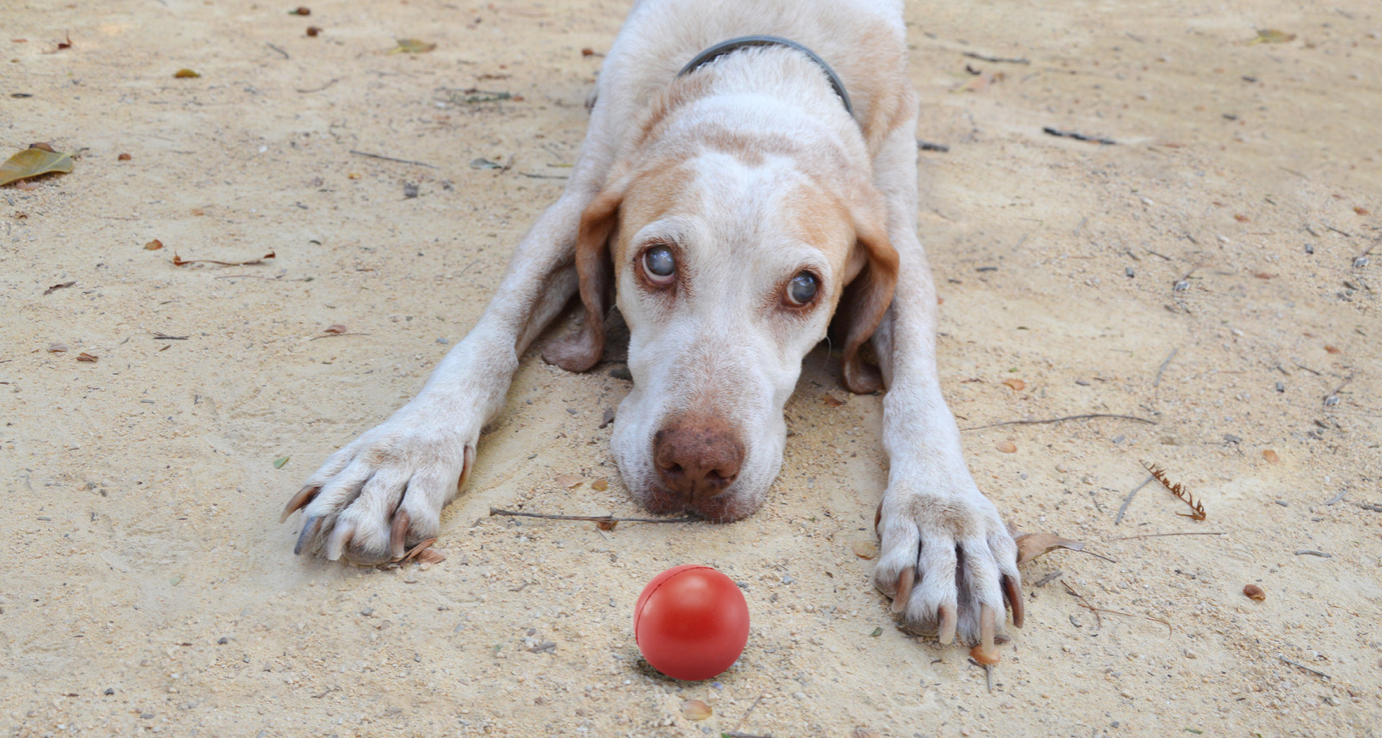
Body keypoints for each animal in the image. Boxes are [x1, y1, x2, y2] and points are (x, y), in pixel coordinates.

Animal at [277, 0, 1028, 646]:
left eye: (806, 288)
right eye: (659, 261)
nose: (696, 465)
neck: (767, 70)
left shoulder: (900, 238)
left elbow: (919, 397)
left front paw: (944, 518)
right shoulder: (578, 200)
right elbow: (485, 342)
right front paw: (402, 456)